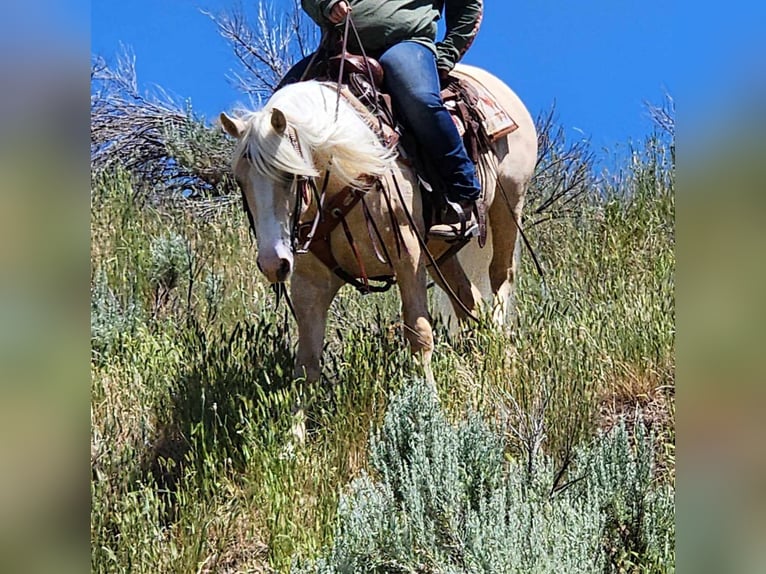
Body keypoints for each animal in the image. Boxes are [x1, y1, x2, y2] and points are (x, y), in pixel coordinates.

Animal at [219, 65, 536, 384]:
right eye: (241, 181)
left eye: (289, 173)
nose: (273, 264)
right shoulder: (310, 282)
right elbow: (307, 361)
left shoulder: (407, 255)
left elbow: (419, 333)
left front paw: (427, 394)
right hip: (439, 253)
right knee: (469, 302)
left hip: (508, 205)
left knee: (501, 276)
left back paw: (502, 350)